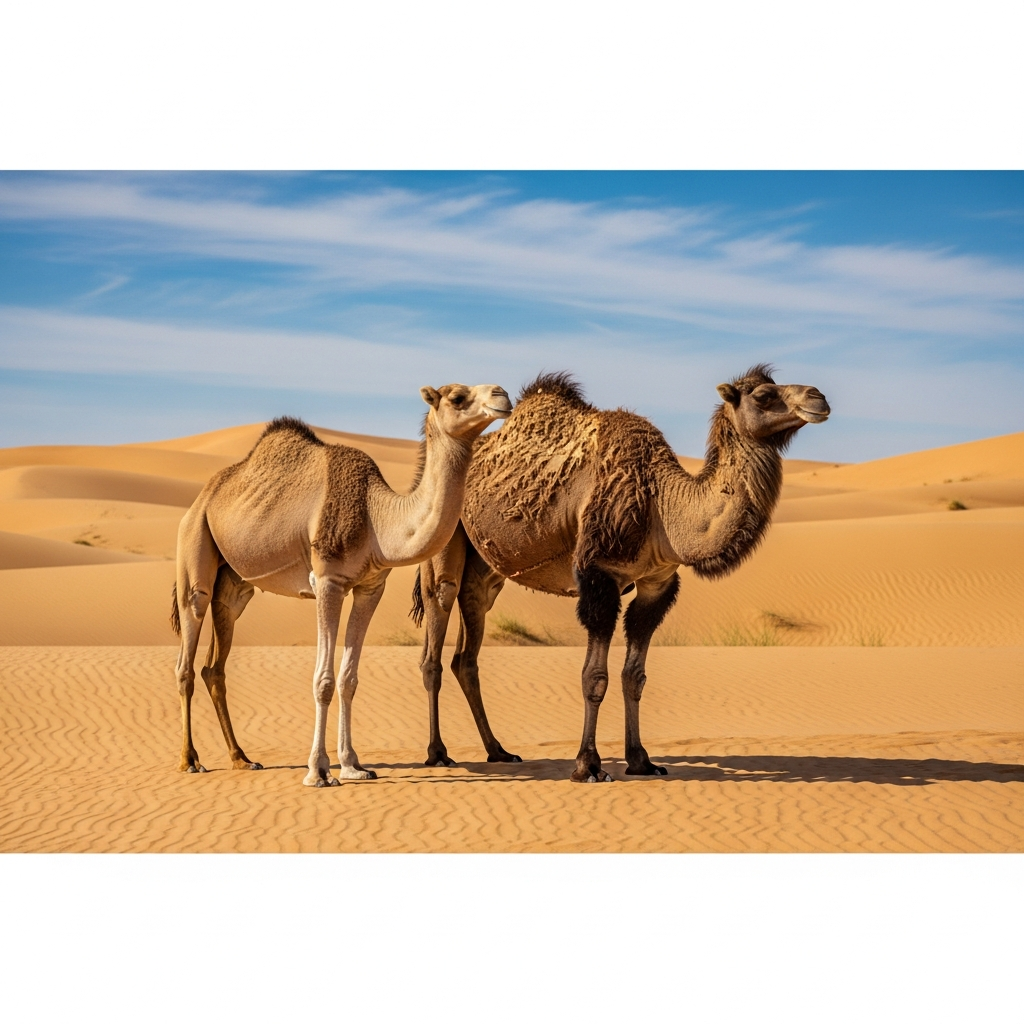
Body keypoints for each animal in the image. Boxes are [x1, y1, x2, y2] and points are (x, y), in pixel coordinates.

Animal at [171, 382, 512, 787]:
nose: (502, 395)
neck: (375, 517)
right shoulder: (328, 581)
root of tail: (202, 498)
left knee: (216, 659)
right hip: (194, 543)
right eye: (457, 397)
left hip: (235, 583)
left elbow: (349, 678)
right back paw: (190, 760)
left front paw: (353, 765)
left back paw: (242, 758)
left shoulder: (370, 587)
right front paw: (318, 771)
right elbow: (324, 680)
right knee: (189, 647)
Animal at [411, 366, 830, 782]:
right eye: (763, 395)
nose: (818, 397)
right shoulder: (600, 574)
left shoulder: (656, 583)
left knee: (467, 651)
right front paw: (588, 765)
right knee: (437, 631)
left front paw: (641, 760)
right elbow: (594, 677)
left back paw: (498, 750)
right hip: (442, 544)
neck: (661, 502)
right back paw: (438, 753)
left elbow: (635, 676)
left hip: (487, 570)